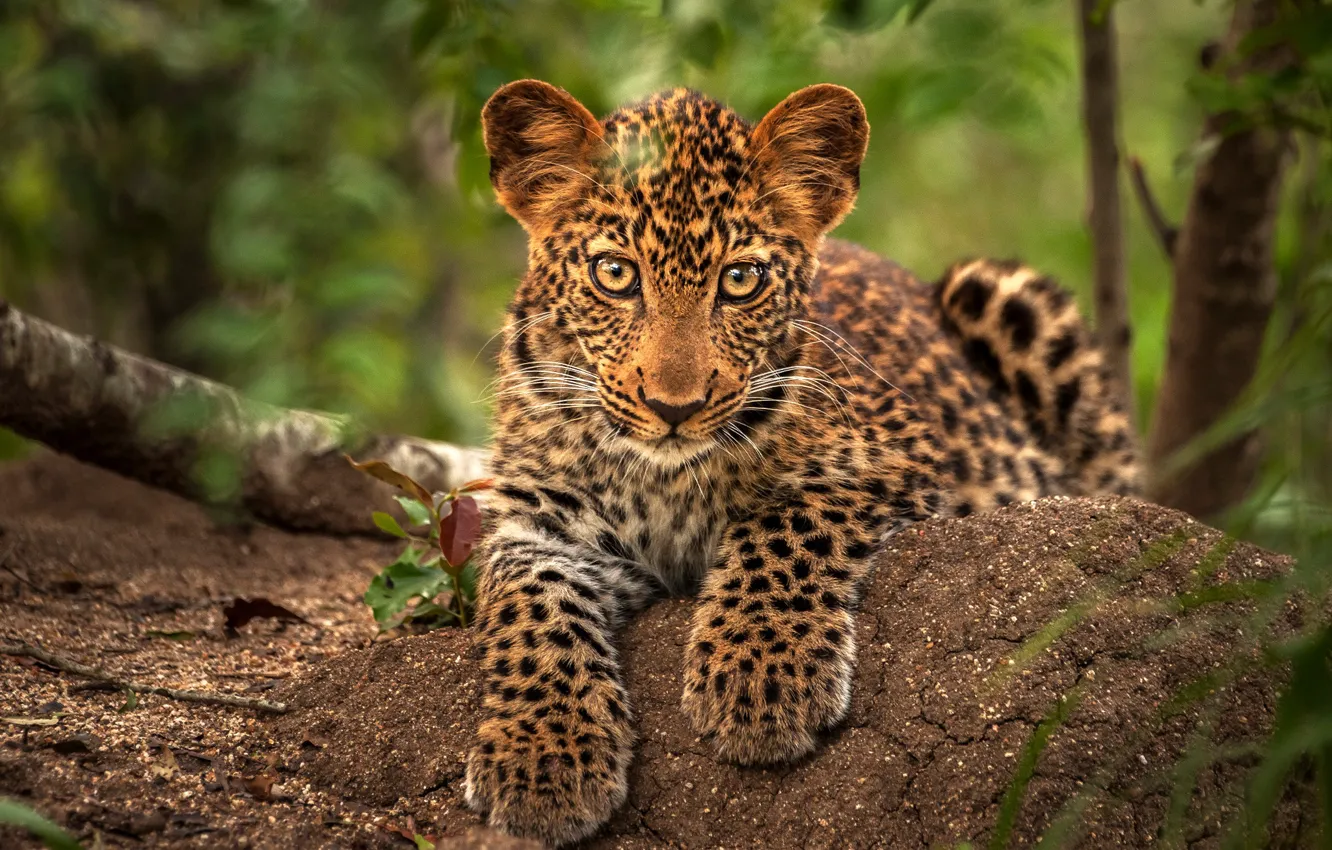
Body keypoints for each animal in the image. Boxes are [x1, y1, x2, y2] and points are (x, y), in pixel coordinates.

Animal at [463, 80, 1141, 846]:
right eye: (614, 274)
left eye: (741, 279)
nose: (674, 406)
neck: (662, 474)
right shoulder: (539, 521)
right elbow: (530, 608)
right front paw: (542, 755)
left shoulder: (893, 456)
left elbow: (784, 525)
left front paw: (760, 677)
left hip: (1008, 298)